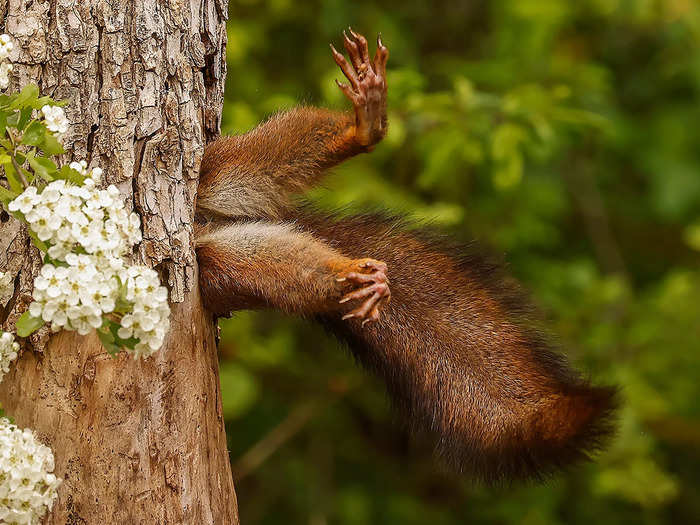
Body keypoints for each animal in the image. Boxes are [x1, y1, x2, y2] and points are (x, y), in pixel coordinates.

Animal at [194, 26, 616, 482]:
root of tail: (205, 225)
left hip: (215, 170)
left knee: (262, 158)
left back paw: (363, 128)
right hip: (219, 264)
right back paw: (353, 277)